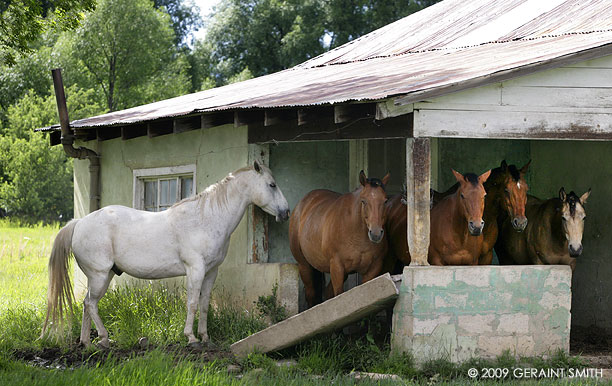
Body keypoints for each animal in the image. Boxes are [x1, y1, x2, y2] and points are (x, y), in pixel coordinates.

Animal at [40, 161, 290, 348]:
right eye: (272, 184)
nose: (286, 212)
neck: (206, 218)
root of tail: (80, 222)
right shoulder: (195, 269)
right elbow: (192, 303)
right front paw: (191, 337)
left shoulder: (211, 272)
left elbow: (205, 304)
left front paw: (205, 337)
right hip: (100, 275)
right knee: (91, 304)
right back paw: (104, 338)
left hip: (103, 275)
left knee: (86, 304)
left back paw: (87, 343)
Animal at [290, 171, 390, 308]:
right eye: (364, 201)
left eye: (385, 201)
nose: (375, 234)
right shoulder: (336, 266)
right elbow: (339, 297)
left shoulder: (372, 269)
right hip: (304, 266)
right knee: (311, 295)